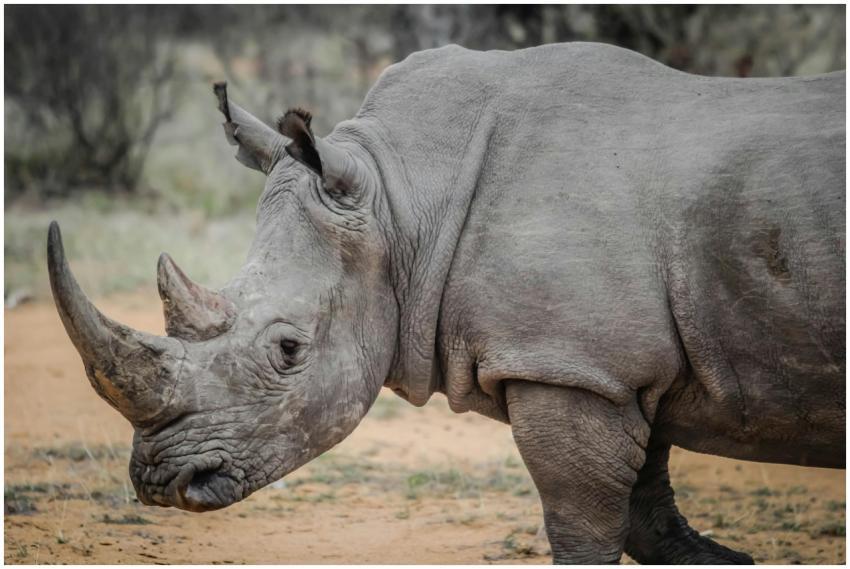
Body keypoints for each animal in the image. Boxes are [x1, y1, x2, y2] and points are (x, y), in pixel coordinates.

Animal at [47, 43, 844, 564]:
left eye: (288, 350)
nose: (162, 482)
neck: (401, 198)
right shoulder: (610, 366)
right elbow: (648, 511)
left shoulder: (568, 365)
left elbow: (584, 526)